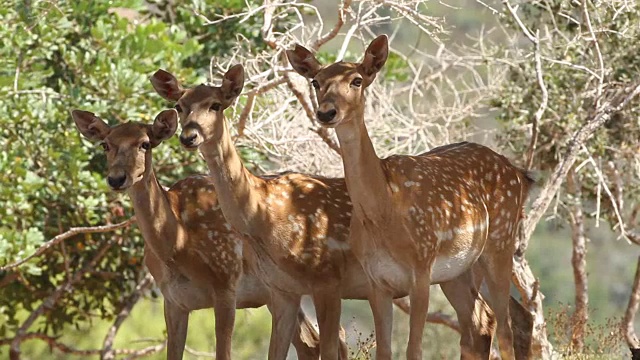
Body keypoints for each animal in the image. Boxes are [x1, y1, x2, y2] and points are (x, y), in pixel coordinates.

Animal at [70, 109, 340, 360]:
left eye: (145, 143)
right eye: (105, 144)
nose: (116, 178)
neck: (180, 244)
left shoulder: (226, 281)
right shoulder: (173, 299)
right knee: (312, 341)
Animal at [150, 65, 516, 360]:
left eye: (216, 104)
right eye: (180, 106)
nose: (189, 135)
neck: (265, 216)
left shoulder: (326, 279)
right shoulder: (282, 290)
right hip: (454, 271)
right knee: (481, 321)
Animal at [288, 34, 532, 360]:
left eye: (356, 80)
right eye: (316, 82)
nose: (326, 113)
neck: (384, 213)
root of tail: (519, 174)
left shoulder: (421, 269)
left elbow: (413, 349)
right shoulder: (377, 282)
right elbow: (384, 350)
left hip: (500, 243)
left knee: (505, 327)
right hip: (458, 271)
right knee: (484, 324)